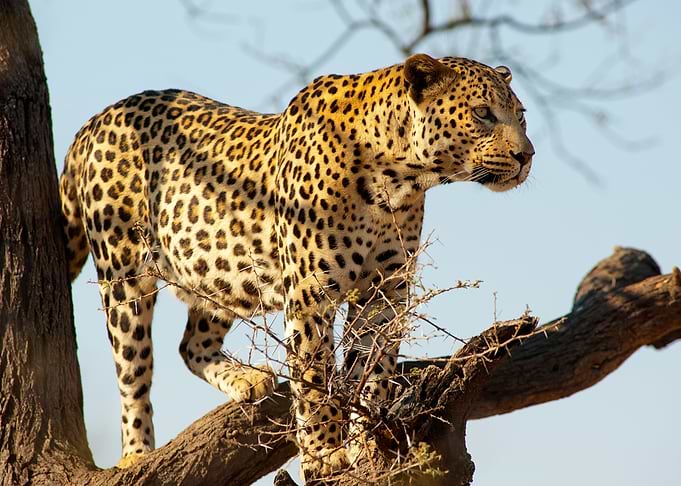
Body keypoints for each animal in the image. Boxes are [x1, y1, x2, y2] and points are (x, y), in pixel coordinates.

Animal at [59, 53, 534, 482]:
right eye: (482, 113)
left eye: (521, 116)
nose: (526, 156)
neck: (399, 178)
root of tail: (96, 121)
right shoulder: (311, 294)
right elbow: (314, 377)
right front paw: (324, 455)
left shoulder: (384, 293)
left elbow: (372, 371)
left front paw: (366, 441)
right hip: (123, 276)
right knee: (133, 370)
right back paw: (136, 454)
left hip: (221, 270)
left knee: (191, 344)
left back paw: (247, 380)